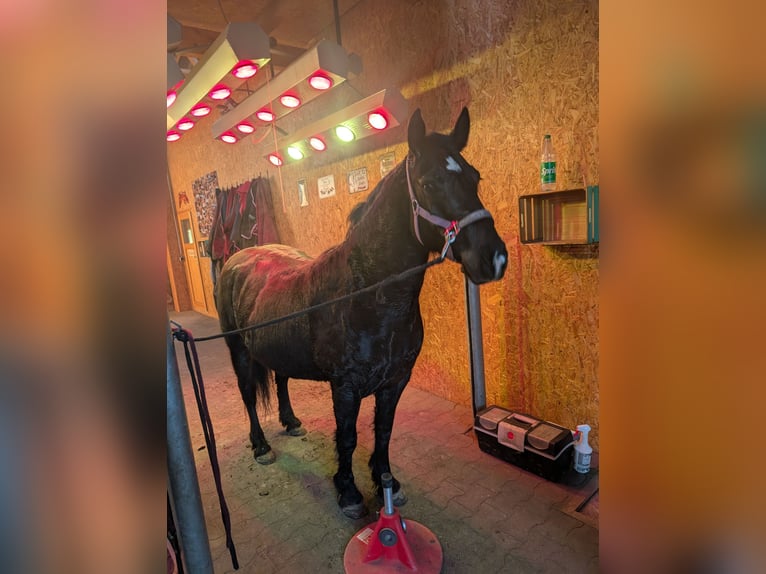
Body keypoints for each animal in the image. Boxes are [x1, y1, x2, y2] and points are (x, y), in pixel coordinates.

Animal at [216, 107, 508, 518]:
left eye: (474, 176)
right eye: (430, 182)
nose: (494, 258)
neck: (370, 297)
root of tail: (238, 257)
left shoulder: (395, 381)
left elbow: (383, 433)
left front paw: (388, 482)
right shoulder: (346, 387)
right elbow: (349, 437)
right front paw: (349, 492)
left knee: (281, 379)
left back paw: (291, 421)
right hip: (239, 352)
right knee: (247, 395)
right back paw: (260, 446)